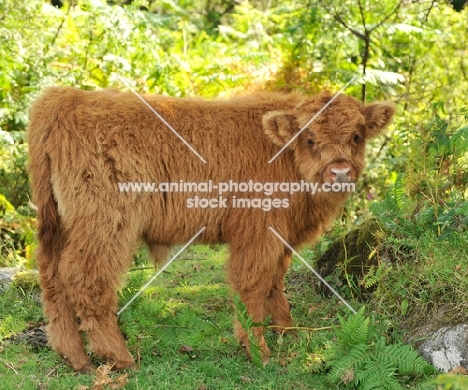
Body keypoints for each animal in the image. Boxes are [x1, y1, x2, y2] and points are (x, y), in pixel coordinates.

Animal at [28, 87, 394, 372]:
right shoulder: (258, 234)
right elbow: (252, 285)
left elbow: (275, 282)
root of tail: (67, 97)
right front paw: (258, 351)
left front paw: (287, 331)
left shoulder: (282, 238)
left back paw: (75, 358)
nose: (340, 172)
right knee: (85, 279)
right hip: (105, 224)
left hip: (58, 226)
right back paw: (119, 357)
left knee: (52, 278)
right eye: (310, 138)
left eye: (357, 136)